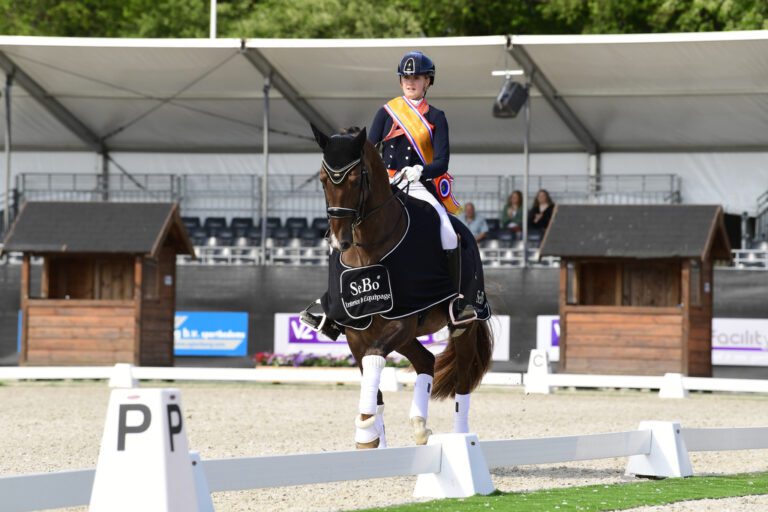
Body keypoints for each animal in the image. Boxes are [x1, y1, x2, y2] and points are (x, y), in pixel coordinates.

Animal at [308, 126, 496, 450]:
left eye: (356, 179)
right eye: (322, 179)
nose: (338, 241)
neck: (368, 248)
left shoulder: (403, 320)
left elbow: (374, 360)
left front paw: (366, 432)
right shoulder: (357, 330)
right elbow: (374, 384)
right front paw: (373, 438)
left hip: (463, 324)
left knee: (462, 383)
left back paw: (460, 436)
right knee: (426, 361)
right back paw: (419, 426)